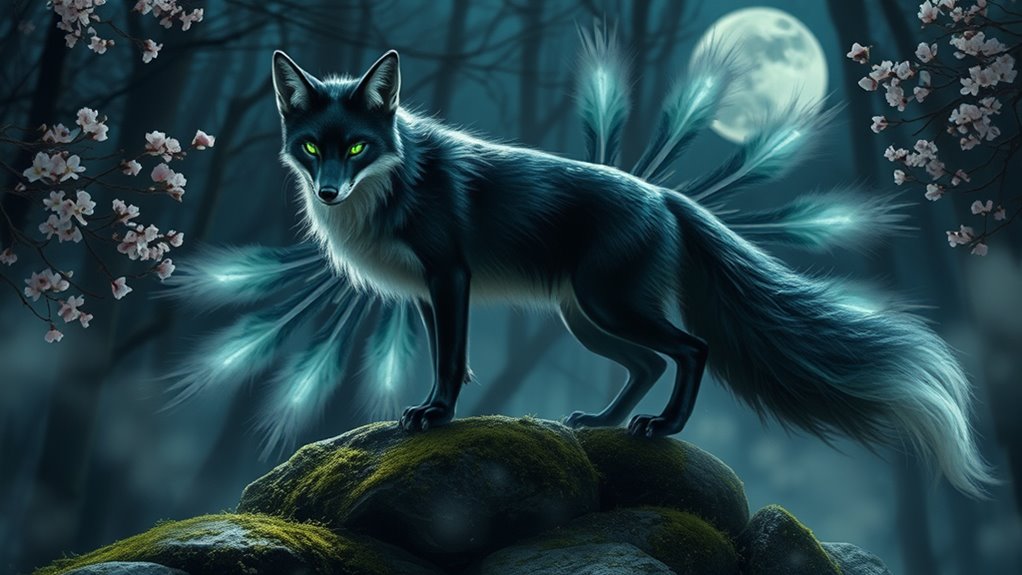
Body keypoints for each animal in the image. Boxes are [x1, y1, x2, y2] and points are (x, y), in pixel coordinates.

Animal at [166, 25, 992, 496]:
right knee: (649, 362)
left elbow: (451, 359)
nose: (331, 190)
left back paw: (663, 427)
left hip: (604, 306)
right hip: (585, 318)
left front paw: (436, 416)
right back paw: (603, 421)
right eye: (313, 148)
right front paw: (437, 408)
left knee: (690, 348)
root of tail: (664, 194)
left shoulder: (450, 276)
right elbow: (446, 353)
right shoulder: (431, 293)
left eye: (358, 147)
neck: (391, 188)